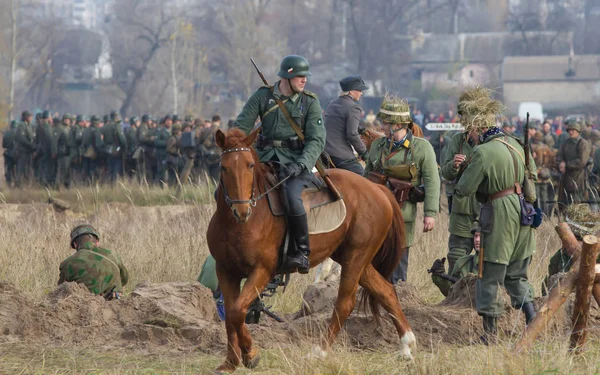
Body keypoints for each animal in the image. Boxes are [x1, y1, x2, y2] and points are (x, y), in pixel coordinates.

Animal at [209, 129, 414, 374]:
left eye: (250, 165)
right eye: (224, 167)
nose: (241, 210)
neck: (239, 225)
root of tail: (378, 189)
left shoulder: (262, 271)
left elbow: (237, 311)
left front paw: (250, 354)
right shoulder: (225, 271)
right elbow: (230, 314)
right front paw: (231, 361)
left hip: (356, 256)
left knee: (345, 303)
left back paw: (319, 352)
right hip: (353, 259)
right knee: (386, 292)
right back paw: (406, 346)